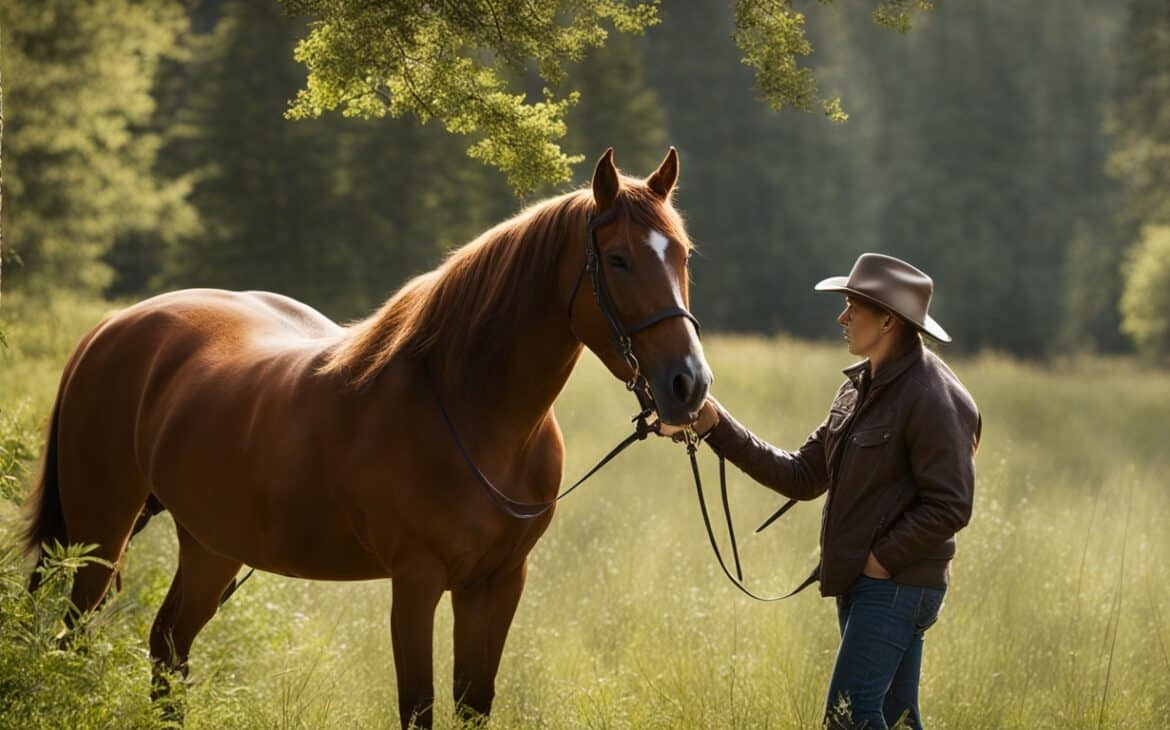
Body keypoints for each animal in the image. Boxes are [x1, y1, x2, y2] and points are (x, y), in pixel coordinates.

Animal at [20, 146, 711, 725]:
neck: (471, 413)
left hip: (209, 543)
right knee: (74, 638)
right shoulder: (416, 582)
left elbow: (472, 705)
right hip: (98, 532)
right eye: (618, 258)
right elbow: (419, 708)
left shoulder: (496, 583)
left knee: (167, 648)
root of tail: (113, 326)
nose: (689, 383)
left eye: (681, 255)